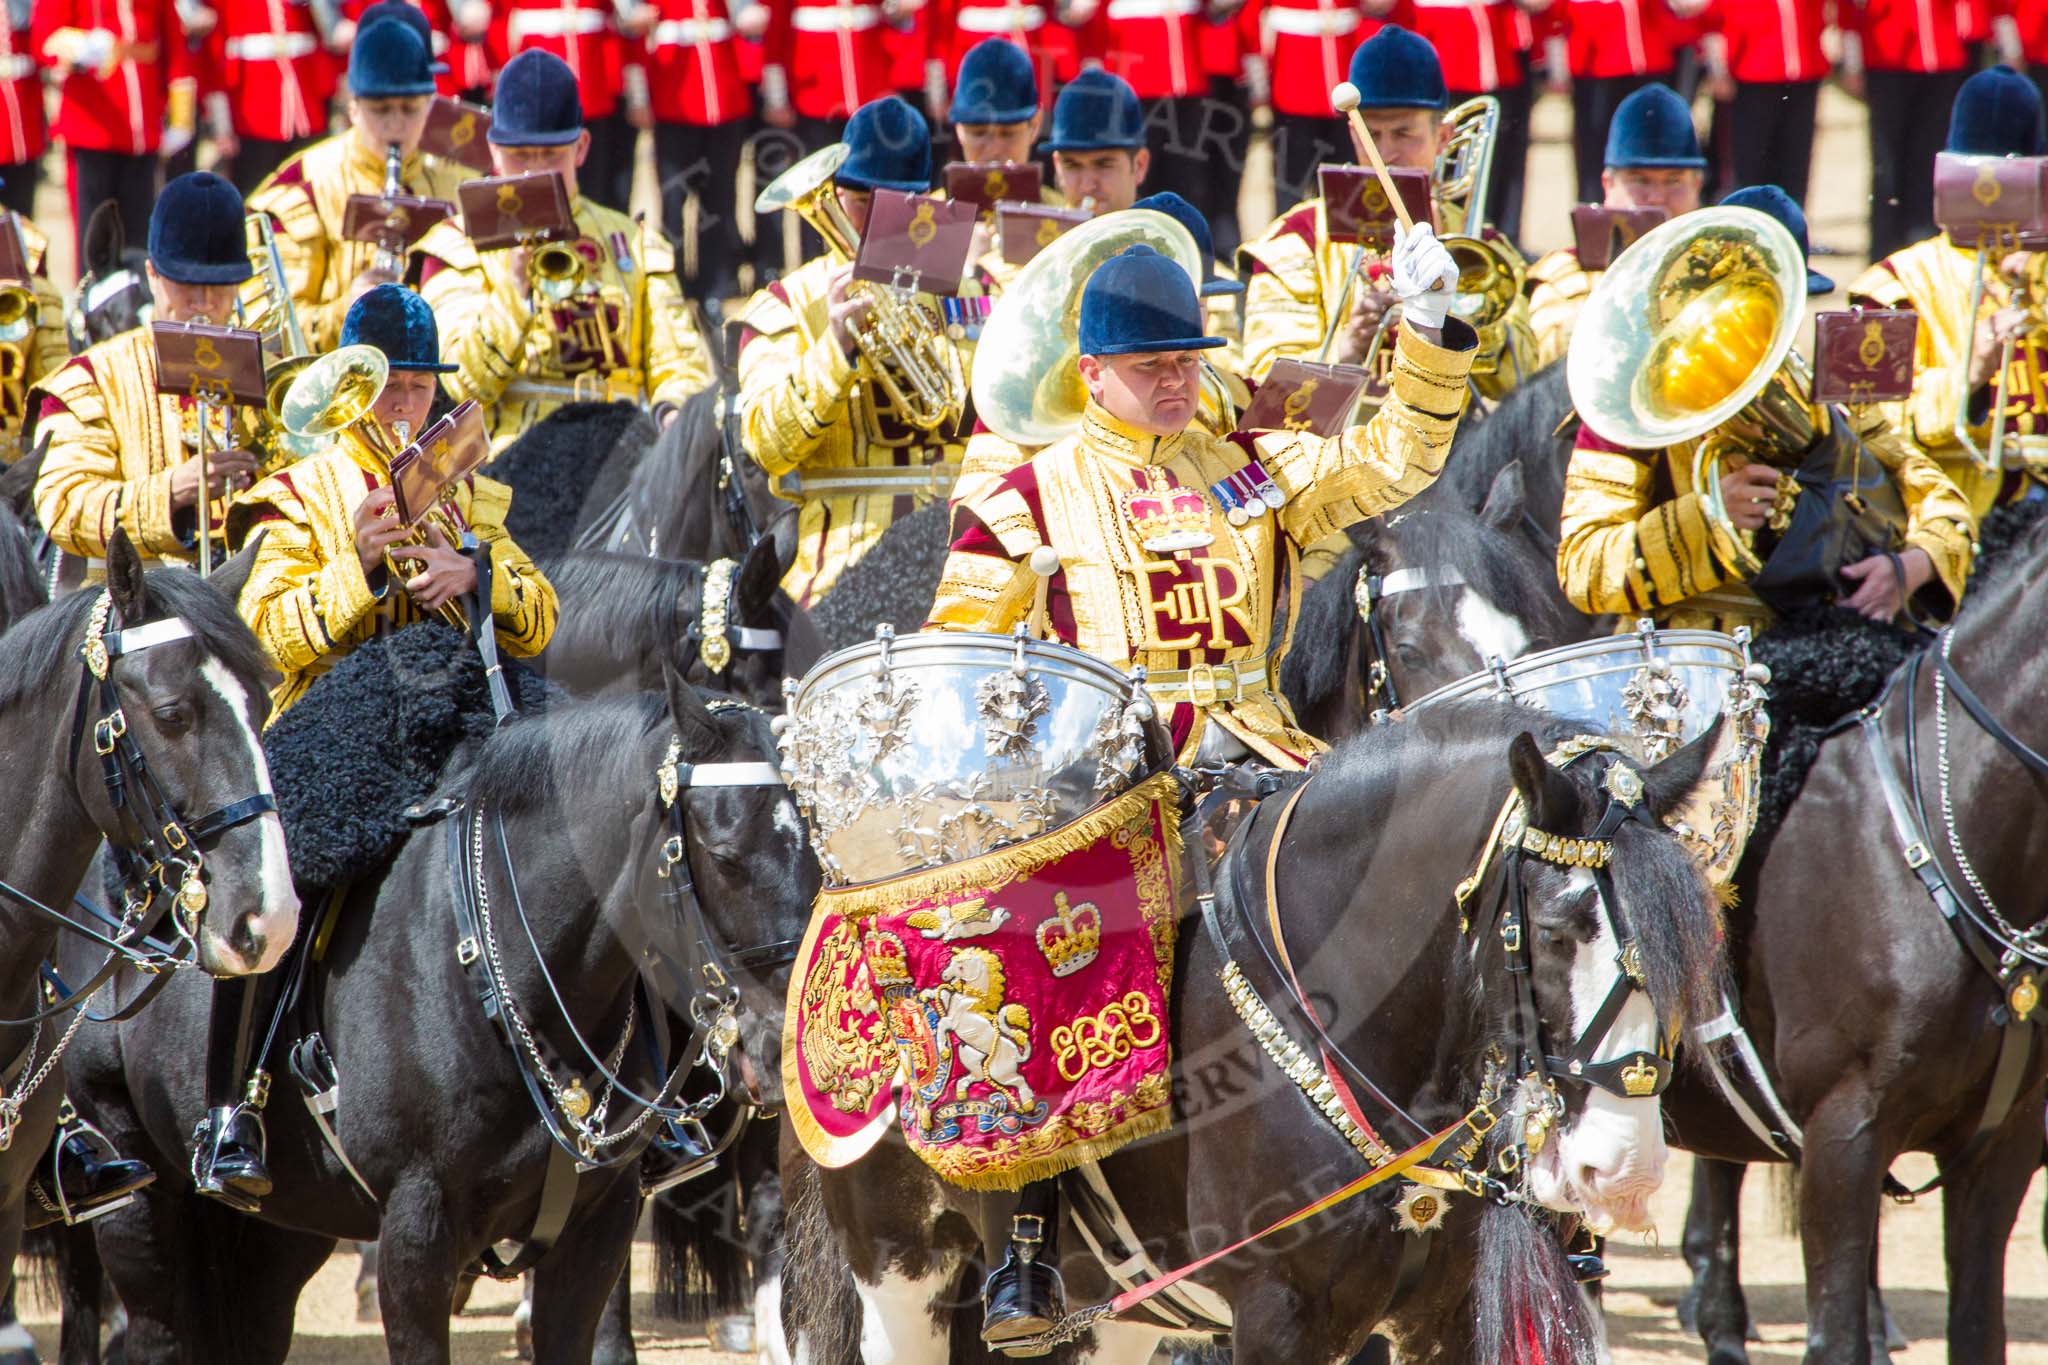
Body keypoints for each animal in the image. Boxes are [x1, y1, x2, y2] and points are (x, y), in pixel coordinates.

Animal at [59, 675, 819, 1365]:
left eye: (814, 845)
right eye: (723, 856)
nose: (780, 1045)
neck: (502, 972)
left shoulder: (596, 1228)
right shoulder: (416, 1230)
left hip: (281, 1233)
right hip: (136, 1196)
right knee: (150, 1329)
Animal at [782, 703, 1728, 1365]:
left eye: (1690, 943)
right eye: (1561, 930)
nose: (1626, 1172)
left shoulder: (1445, 1317)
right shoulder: (1280, 1314)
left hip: (1110, 1310)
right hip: (901, 1267)